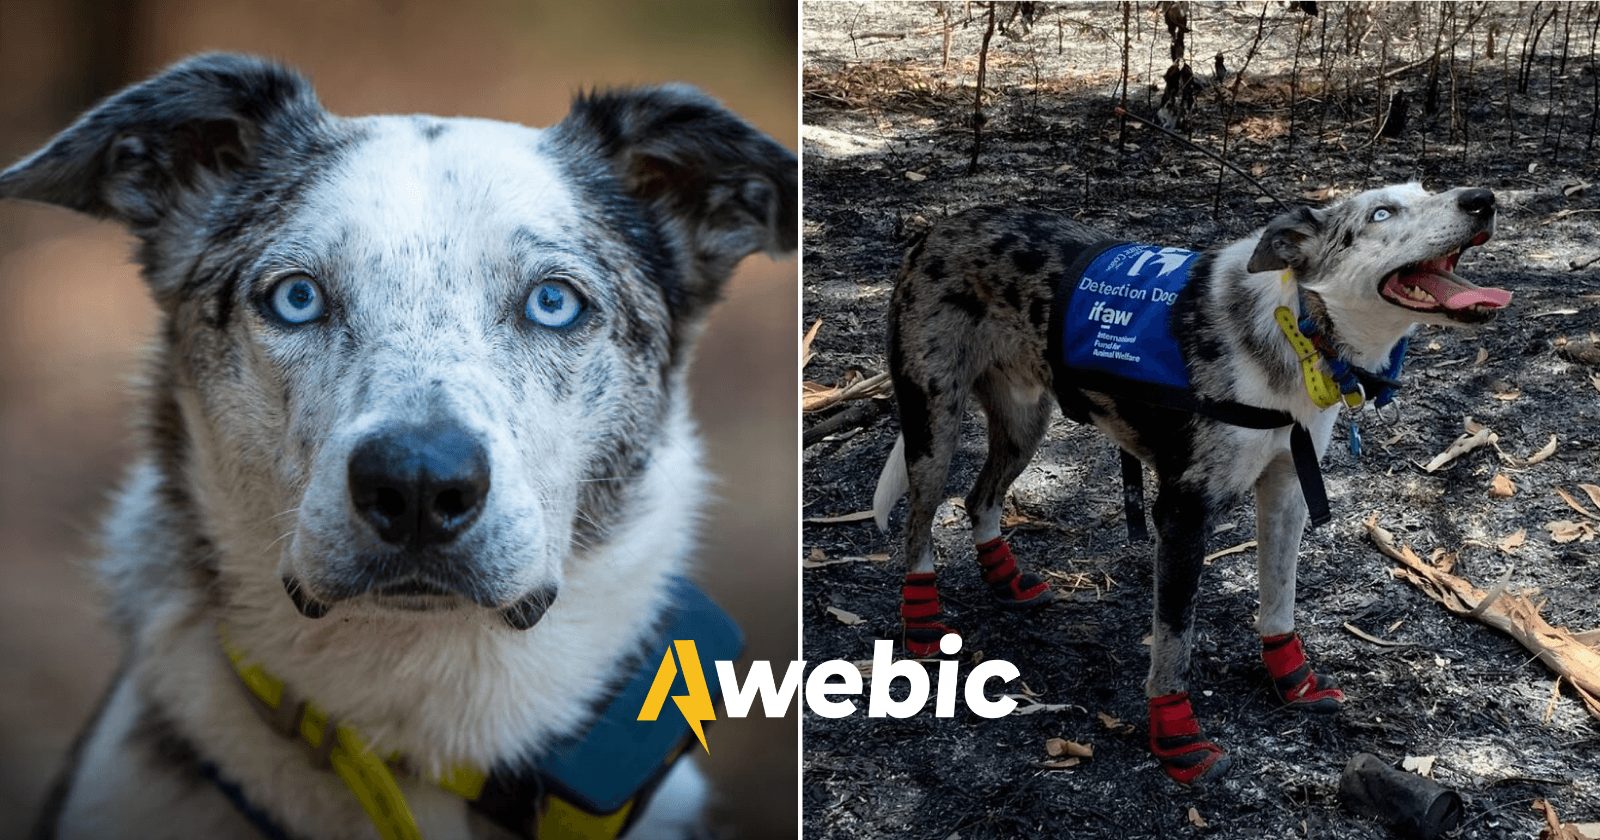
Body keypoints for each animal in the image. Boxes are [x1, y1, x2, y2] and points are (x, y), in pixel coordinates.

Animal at [876, 183, 1510, 787]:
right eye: (1381, 213)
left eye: (1427, 190)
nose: (1483, 200)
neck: (1296, 329)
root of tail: (938, 228)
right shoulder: (1182, 513)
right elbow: (1174, 639)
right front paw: (1178, 740)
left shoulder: (1287, 491)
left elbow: (1279, 602)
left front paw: (1294, 683)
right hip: (934, 425)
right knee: (918, 525)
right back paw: (923, 624)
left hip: (1024, 422)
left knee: (978, 498)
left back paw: (1005, 579)